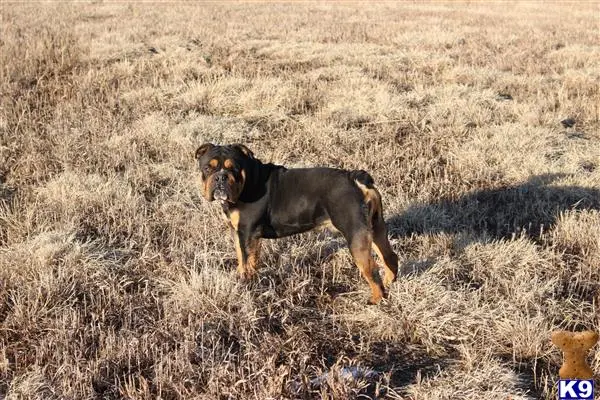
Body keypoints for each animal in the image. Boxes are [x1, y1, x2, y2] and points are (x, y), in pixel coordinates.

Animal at [195, 144, 396, 304]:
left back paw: (376, 299)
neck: (248, 180)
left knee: (371, 268)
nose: (221, 177)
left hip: (355, 235)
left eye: (235, 168)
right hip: (376, 228)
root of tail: (356, 179)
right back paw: (389, 283)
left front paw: (246, 282)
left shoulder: (248, 233)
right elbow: (240, 255)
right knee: (389, 257)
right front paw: (239, 275)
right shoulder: (237, 232)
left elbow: (248, 261)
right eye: (207, 168)